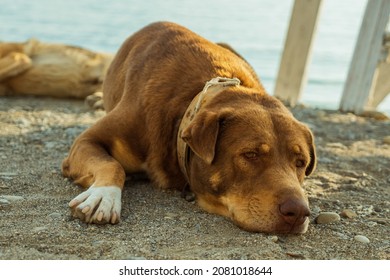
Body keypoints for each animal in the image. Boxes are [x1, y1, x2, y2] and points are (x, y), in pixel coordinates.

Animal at [61, 21, 316, 234]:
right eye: (250, 155)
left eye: (300, 163)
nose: (298, 212)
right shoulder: (87, 141)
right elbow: (112, 164)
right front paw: (104, 195)